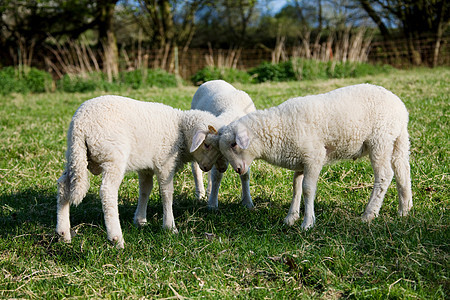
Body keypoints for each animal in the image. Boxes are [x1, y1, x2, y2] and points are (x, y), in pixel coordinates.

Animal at [56, 95, 225, 248]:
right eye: (207, 145)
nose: (209, 168)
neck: (180, 130)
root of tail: (81, 124)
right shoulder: (165, 163)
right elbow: (167, 193)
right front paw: (170, 227)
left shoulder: (146, 167)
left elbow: (145, 190)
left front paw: (140, 220)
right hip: (113, 156)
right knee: (107, 191)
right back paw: (116, 238)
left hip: (75, 155)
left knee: (63, 185)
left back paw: (63, 233)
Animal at [188, 80, 255, 211]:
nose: (222, 168)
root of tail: (212, 80)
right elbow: (216, 177)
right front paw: (213, 205)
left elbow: (245, 175)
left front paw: (247, 202)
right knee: (196, 168)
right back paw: (200, 194)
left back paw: (208, 192)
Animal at [220, 83, 414, 229]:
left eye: (234, 144)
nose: (238, 169)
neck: (280, 127)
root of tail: (401, 108)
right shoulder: (300, 161)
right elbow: (296, 188)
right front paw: (291, 217)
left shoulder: (314, 156)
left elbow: (307, 189)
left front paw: (307, 223)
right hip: (397, 139)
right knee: (402, 170)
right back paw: (404, 210)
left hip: (379, 140)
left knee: (385, 175)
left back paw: (369, 214)